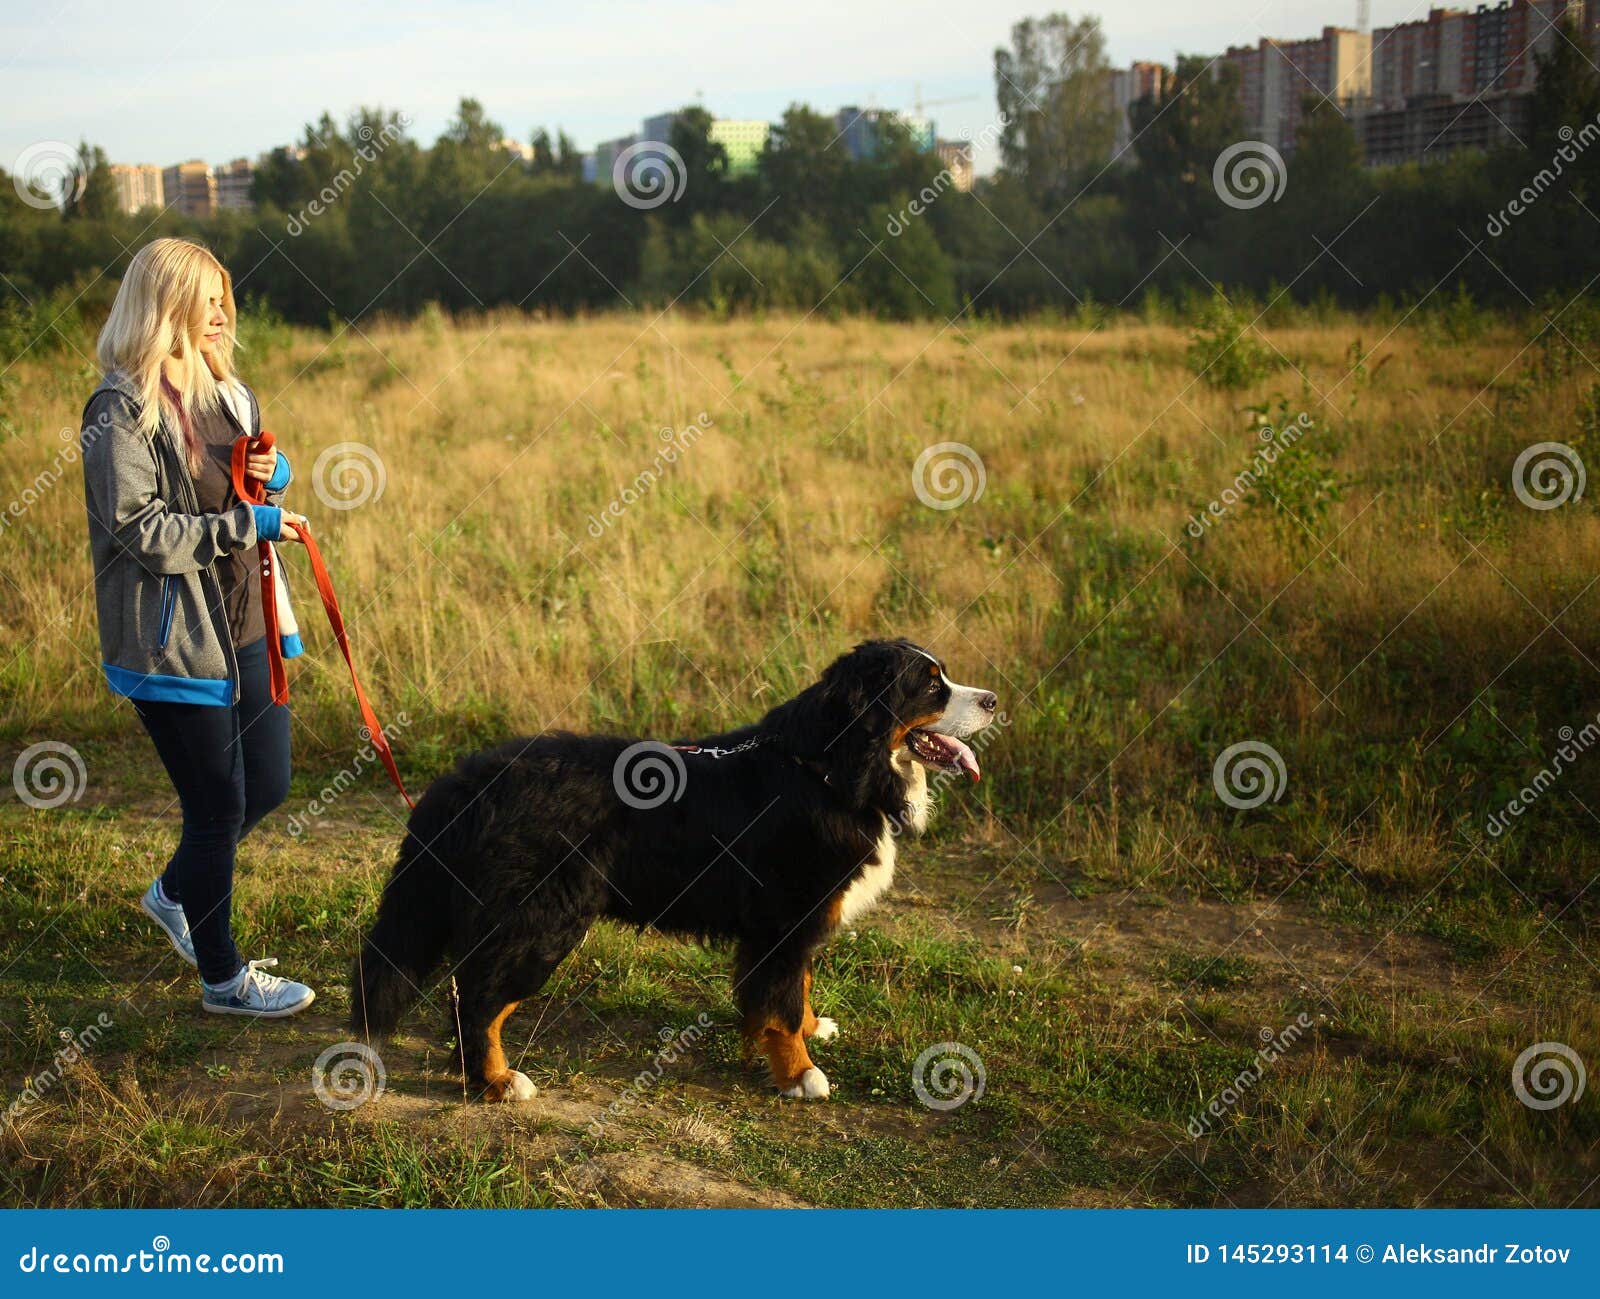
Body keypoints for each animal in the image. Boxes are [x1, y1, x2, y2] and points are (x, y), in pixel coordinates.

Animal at [352, 633, 998, 1100]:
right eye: (932, 687)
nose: (993, 700)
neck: (827, 768)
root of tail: (467, 779)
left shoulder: (794, 924)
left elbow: (795, 989)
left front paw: (813, 1030)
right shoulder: (786, 919)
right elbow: (783, 1001)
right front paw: (800, 1074)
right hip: (540, 922)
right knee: (480, 998)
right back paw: (498, 1080)